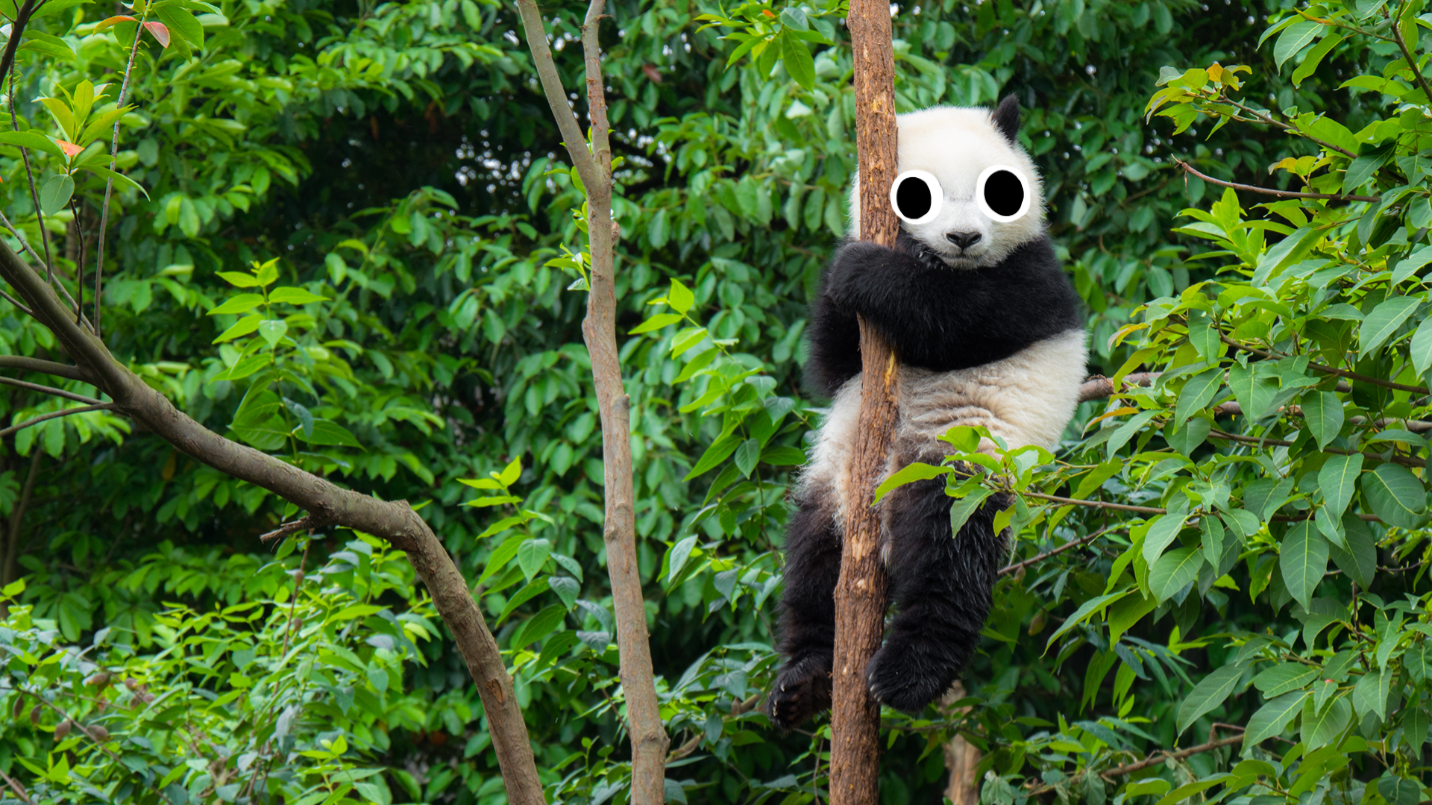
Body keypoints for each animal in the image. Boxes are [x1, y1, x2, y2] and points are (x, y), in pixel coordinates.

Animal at [766, 96, 1088, 729]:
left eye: (998, 191)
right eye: (917, 195)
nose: (963, 237)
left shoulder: (1033, 277)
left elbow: (957, 321)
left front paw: (865, 273)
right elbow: (830, 365)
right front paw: (847, 268)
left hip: (964, 462)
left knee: (949, 554)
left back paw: (907, 675)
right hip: (835, 483)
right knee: (813, 560)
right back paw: (806, 679)